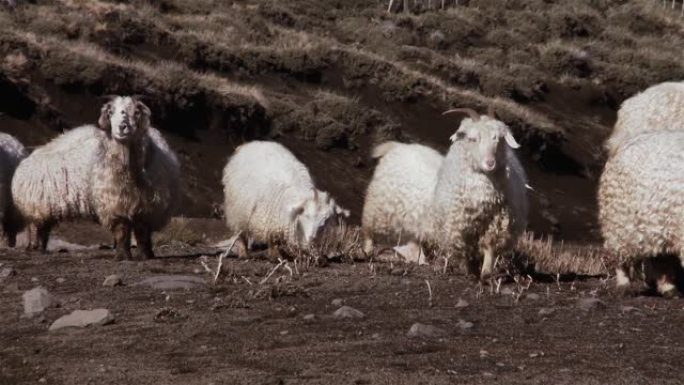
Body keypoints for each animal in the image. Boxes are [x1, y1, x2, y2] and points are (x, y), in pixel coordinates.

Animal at [91, 94, 182, 260]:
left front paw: (143, 255)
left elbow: (142, 230)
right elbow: (121, 230)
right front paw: (122, 256)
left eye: (136, 112)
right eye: (110, 112)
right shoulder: (115, 203)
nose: (122, 127)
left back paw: (150, 253)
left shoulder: (146, 205)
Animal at [432, 107, 528, 280]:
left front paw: (486, 273)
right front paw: (469, 271)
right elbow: (464, 250)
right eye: (473, 139)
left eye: (498, 139)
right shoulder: (460, 225)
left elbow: (490, 247)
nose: (490, 163)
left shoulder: (496, 221)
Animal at [600, 130, 684, 296]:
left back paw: (668, 288)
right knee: (621, 256)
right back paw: (624, 285)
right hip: (620, 221)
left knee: (660, 258)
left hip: (658, 224)